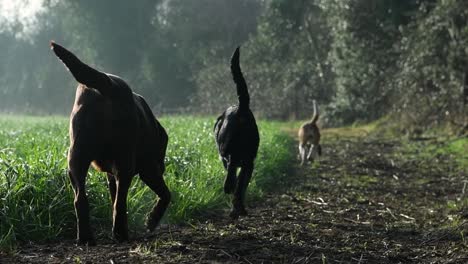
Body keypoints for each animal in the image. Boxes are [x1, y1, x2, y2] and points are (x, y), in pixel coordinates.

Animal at [50, 41, 170, 245]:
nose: (163, 166)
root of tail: (107, 84)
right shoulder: (148, 167)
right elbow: (165, 194)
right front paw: (152, 220)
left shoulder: (111, 175)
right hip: (126, 162)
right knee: (120, 203)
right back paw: (121, 233)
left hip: (76, 159)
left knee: (81, 199)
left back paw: (86, 237)